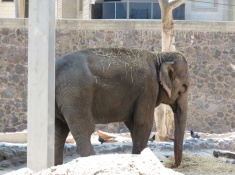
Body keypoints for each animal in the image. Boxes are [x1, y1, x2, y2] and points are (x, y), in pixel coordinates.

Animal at [54, 47, 189, 165]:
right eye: (184, 87)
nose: (175, 165)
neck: (158, 56)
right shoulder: (148, 88)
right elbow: (143, 123)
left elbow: (132, 124)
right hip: (76, 95)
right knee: (84, 130)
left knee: (58, 133)